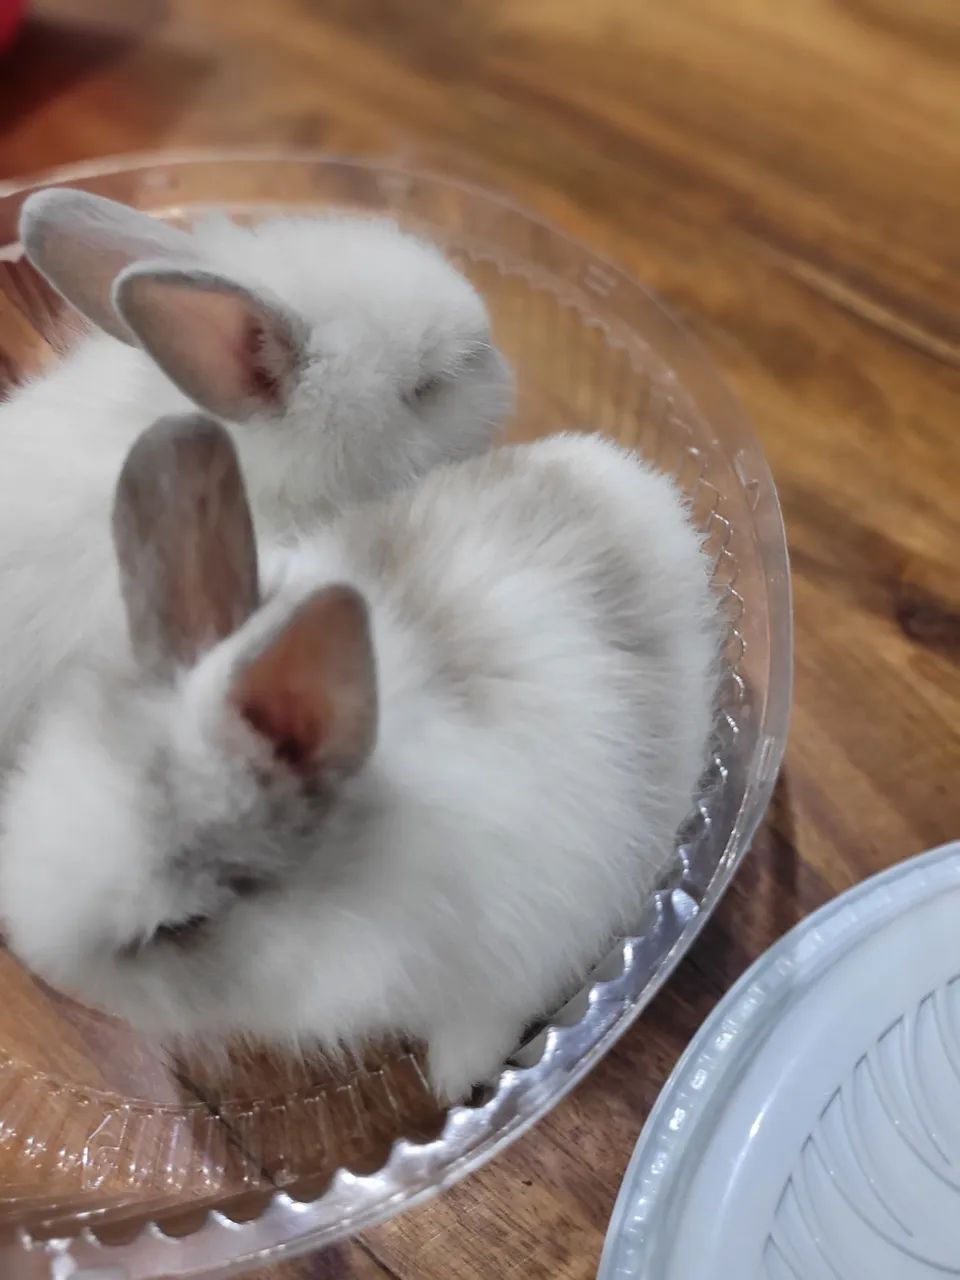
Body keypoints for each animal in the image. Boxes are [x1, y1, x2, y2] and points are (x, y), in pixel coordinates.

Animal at [0, 413, 718, 1104]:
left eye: (182, 925)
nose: (55, 979)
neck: (350, 888)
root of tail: (646, 490)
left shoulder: (511, 955)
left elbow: (483, 1022)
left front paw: (455, 1082)